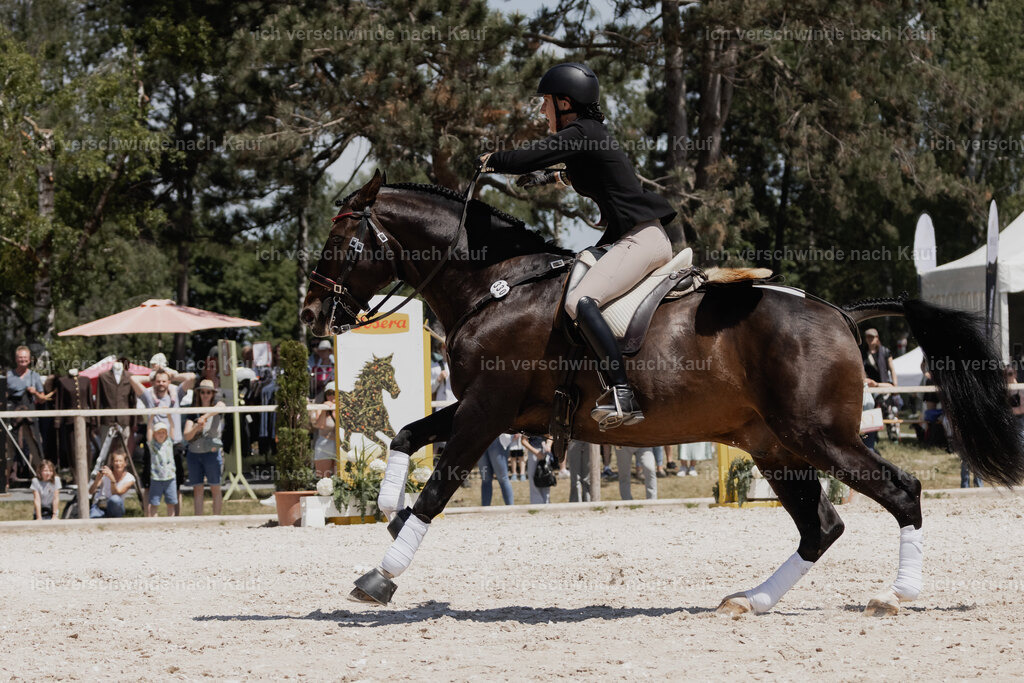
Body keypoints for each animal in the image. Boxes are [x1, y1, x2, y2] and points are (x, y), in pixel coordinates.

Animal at [301, 170, 1024, 616]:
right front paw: (386, 504)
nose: (309, 315)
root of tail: (843, 314)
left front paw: (382, 573)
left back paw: (897, 595)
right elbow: (408, 434)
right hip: (775, 446)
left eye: (340, 239)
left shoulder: (490, 408)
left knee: (901, 492)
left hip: (821, 436)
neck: (496, 284)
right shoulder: (496, 405)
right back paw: (751, 600)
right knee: (821, 526)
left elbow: (441, 483)